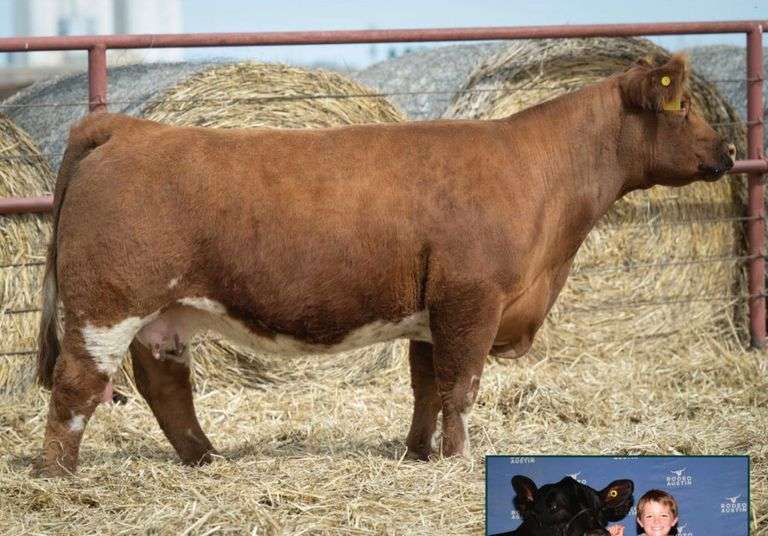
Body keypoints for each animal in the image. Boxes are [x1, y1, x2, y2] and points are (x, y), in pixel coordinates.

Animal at [34, 54, 735, 476]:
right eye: (682, 108)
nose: (729, 149)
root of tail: (127, 128)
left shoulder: (430, 313)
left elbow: (426, 388)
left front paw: (420, 454)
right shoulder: (471, 300)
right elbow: (461, 388)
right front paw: (457, 461)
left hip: (164, 315)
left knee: (165, 387)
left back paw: (207, 459)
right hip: (107, 304)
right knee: (76, 385)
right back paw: (60, 476)